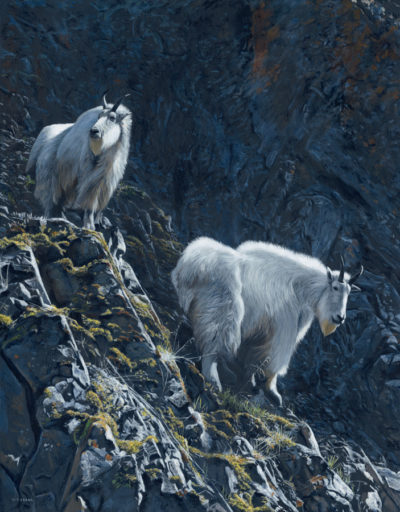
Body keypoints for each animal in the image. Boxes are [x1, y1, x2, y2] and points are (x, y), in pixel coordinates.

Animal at [27, 93, 133, 229]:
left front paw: (94, 224)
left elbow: (94, 205)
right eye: (99, 116)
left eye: (112, 117)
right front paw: (89, 226)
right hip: (47, 174)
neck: (101, 152)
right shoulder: (87, 178)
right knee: (49, 198)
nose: (94, 131)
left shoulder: (102, 181)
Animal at [171, 237, 362, 404]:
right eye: (335, 287)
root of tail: (189, 267)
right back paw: (214, 379)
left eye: (349, 292)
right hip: (223, 310)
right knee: (214, 343)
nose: (339, 318)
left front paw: (251, 382)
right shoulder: (282, 329)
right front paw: (273, 392)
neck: (299, 289)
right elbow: (273, 362)